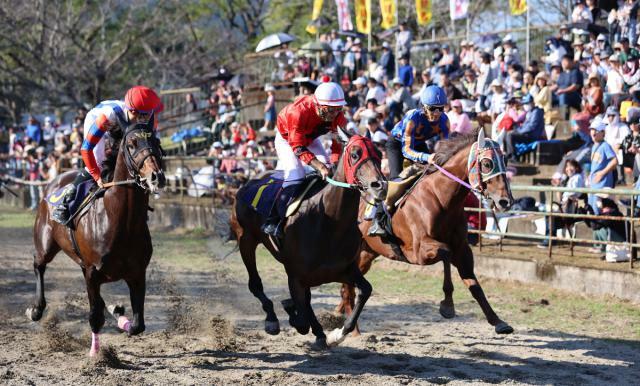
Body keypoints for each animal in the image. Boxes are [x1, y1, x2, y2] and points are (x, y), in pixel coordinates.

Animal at [26, 123, 166, 356]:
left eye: (156, 141)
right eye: (131, 144)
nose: (157, 176)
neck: (120, 222)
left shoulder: (137, 273)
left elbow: (138, 325)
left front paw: (120, 316)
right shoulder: (92, 272)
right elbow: (94, 317)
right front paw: (95, 354)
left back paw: (114, 309)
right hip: (46, 244)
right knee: (39, 265)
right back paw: (36, 309)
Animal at [232, 130, 388, 350]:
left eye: (379, 154)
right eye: (355, 154)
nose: (380, 186)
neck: (330, 223)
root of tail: (248, 182)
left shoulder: (345, 269)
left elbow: (365, 290)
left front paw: (335, 335)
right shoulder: (296, 276)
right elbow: (302, 318)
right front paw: (292, 312)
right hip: (245, 239)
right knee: (255, 283)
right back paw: (271, 319)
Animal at [338, 129, 516, 334]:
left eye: (505, 160)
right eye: (487, 163)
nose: (506, 201)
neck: (441, 199)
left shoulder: (462, 250)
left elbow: (475, 286)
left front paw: (498, 322)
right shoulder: (418, 252)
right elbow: (446, 254)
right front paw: (447, 305)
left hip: (367, 253)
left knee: (348, 286)